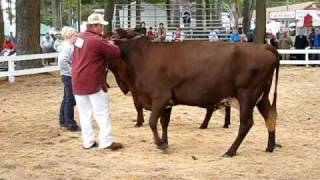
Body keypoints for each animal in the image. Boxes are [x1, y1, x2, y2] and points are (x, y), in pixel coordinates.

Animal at [109, 29, 280, 156]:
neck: (143, 57)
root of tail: (264, 47)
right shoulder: (167, 101)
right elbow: (164, 123)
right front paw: (165, 142)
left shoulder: (160, 97)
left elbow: (152, 122)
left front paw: (160, 144)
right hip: (261, 96)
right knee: (270, 115)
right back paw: (270, 146)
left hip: (247, 95)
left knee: (246, 123)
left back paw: (230, 151)